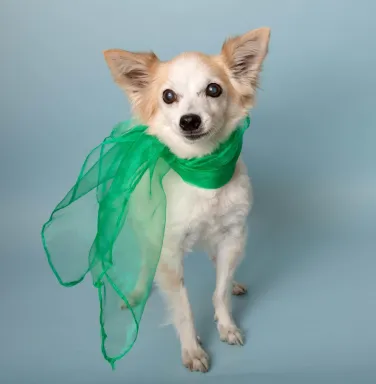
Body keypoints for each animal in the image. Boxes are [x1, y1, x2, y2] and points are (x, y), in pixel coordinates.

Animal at [103, 27, 270, 372]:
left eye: (214, 90)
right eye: (168, 96)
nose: (189, 120)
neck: (202, 170)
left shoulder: (233, 234)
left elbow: (219, 291)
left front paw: (227, 324)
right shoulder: (168, 251)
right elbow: (183, 307)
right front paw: (192, 349)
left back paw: (235, 281)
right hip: (147, 232)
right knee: (146, 264)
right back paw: (137, 293)